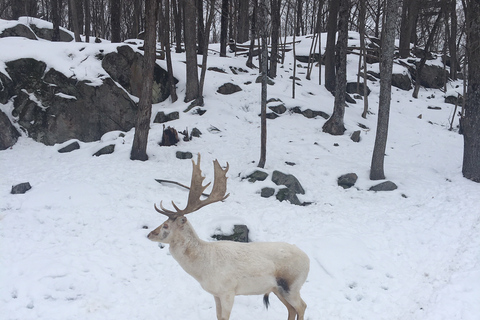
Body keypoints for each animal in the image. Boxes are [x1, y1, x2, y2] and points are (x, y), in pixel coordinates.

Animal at [147, 154, 312, 318]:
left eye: (166, 225)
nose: (149, 234)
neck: (203, 270)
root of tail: (308, 260)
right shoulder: (215, 293)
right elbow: (218, 316)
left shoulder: (228, 291)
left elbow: (225, 317)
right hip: (276, 288)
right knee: (291, 309)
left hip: (291, 285)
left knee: (302, 306)